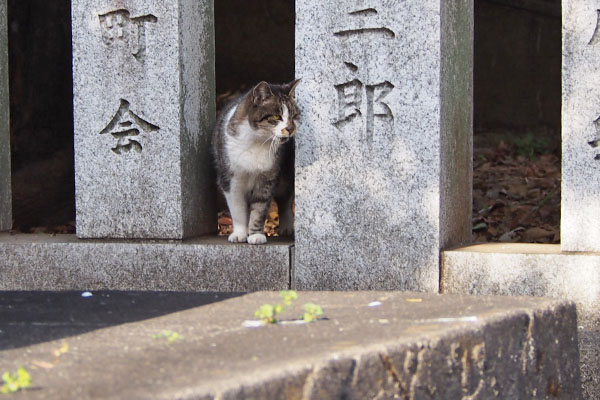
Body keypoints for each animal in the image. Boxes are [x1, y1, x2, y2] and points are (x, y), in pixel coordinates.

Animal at [213, 79, 302, 244]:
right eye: (276, 117)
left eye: (294, 116)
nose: (290, 128)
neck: (257, 141)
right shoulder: (231, 180)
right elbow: (237, 209)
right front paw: (239, 234)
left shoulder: (267, 179)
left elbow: (259, 209)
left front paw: (255, 235)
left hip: (285, 174)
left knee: (285, 199)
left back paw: (286, 227)